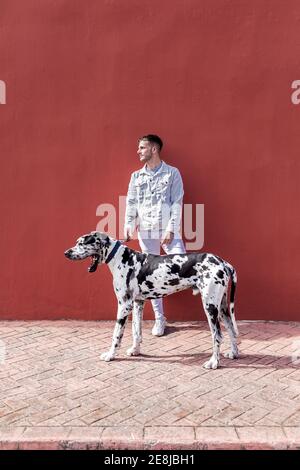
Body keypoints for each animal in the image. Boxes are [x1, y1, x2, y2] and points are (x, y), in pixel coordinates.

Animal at [65, 233, 239, 370]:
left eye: (81, 243)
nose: (66, 252)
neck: (120, 259)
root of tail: (222, 262)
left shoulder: (124, 305)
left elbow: (116, 334)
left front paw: (111, 355)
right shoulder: (137, 303)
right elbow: (136, 331)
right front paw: (135, 351)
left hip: (210, 307)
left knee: (217, 335)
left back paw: (213, 362)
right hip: (222, 309)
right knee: (231, 329)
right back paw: (233, 353)